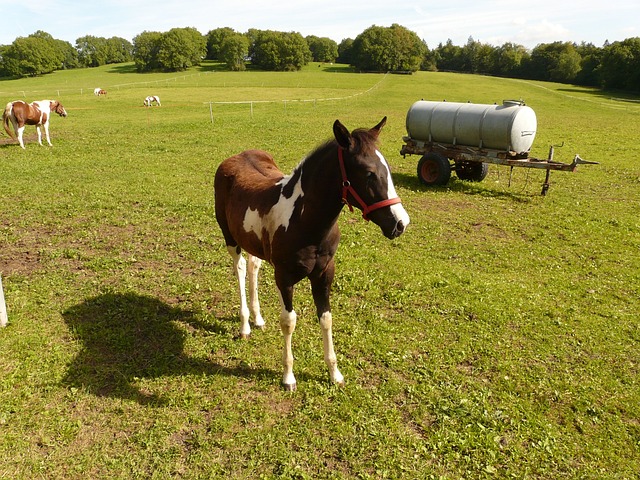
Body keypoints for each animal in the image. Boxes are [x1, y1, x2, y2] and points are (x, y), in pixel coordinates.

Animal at [215, 117, 410, 390]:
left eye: (388, 170)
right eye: (368, 173)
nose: (401, 223)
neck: (304, 220)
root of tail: (234, 157)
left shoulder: (324, 273)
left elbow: (326, 318)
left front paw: (335, 374)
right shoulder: (284, 277)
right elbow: (289, 321)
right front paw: (288, 377)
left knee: (254, 266)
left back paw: (258, 319)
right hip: (230, 239)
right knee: (240, 268)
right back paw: (245, 325)